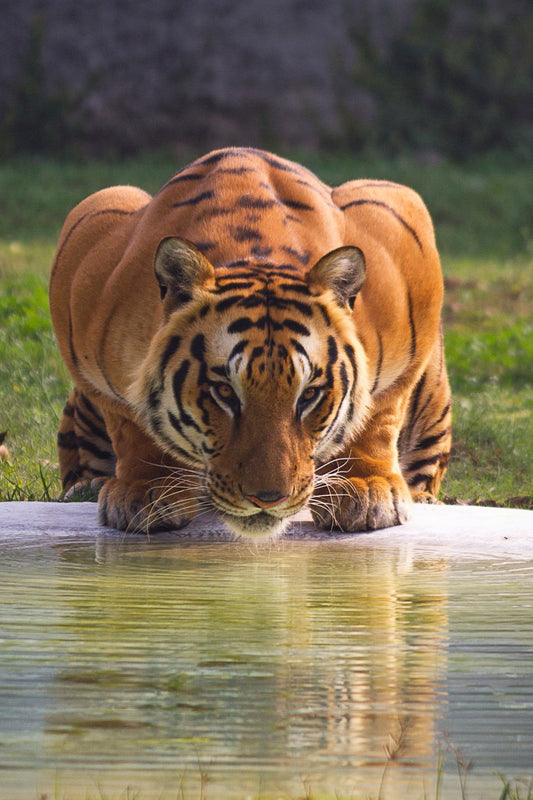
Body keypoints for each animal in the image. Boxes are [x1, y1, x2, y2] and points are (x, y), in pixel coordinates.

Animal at [49, 147, 451, 539]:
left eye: (309, 395)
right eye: (224, 392)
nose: (268, 499)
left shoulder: (402, 230)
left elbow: (379, 412)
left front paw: (366, 489)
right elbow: (129, 423)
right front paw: (146, 490)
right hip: (110, 198)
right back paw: (87, 487)